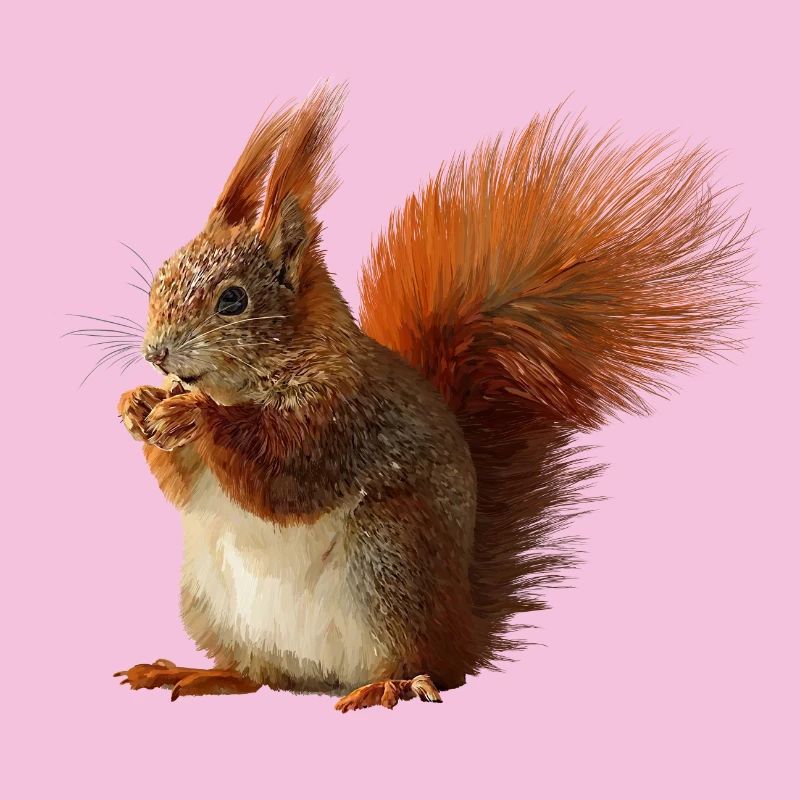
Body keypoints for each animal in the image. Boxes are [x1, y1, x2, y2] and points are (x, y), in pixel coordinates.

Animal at [110, 84, 749, 712]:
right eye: (162, 273)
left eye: (233, 300)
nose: (155, 353)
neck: (246, 384)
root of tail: (463, 627)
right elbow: (183, 485)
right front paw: (137, 403)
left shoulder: (343, 417)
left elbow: (283, 474)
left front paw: (195, 414)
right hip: (212, 599)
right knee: (260, 674)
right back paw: (198, 673)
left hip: (389, 561)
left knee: (427, 667)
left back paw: (389, 686)